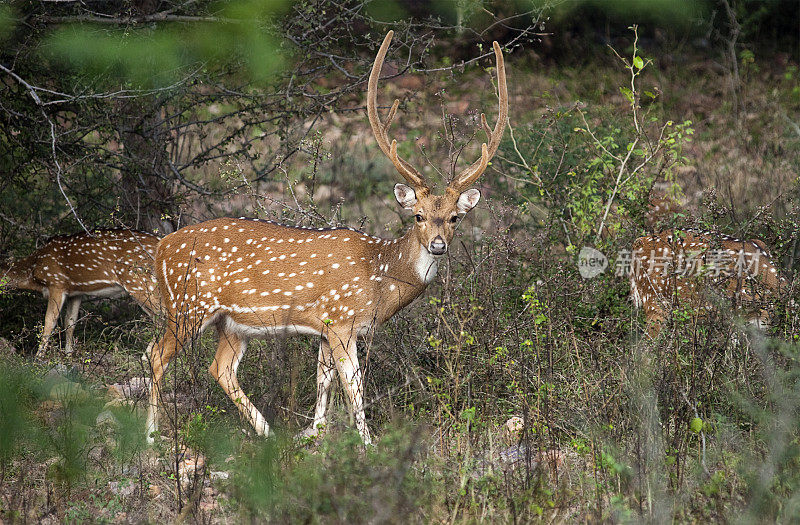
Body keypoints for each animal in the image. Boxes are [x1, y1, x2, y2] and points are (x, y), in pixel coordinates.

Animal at [0, 229, 162, 356]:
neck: (33, 271)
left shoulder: (56, 284)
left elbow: (49, 322)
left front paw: (38, 358)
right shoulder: (75, 292)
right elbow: (70, 322)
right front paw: (68, 355)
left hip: (139, 281)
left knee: (162, 316)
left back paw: (147, 356)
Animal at [144, 30, 506, 444]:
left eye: (455, 218)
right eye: (418, 216)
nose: (438, 244)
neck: (380, 278)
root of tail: (160, 248)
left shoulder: (324, 327)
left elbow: (323, 381)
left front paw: (313, 434)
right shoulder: (343, 319)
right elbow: (354, 387)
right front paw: (367, 443)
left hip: (232, 323)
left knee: (220, 368)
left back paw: (268, 433)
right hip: (188, 305)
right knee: (155, 354)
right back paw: (150, 436)